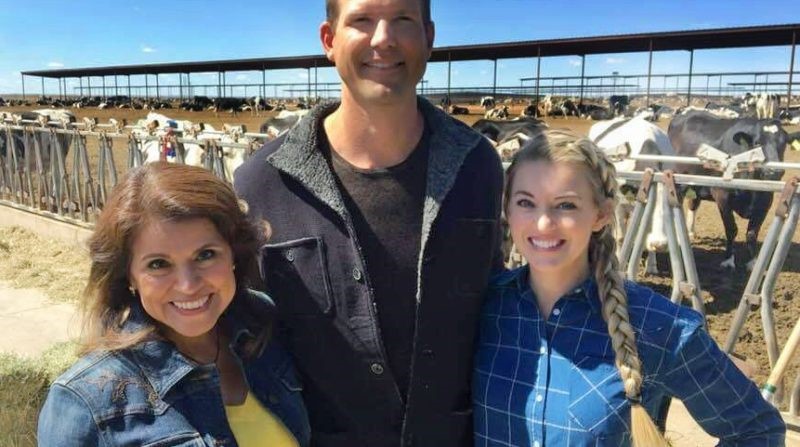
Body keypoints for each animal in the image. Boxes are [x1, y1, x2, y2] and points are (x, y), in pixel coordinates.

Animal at [672, 111, 796, 270]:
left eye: (784, 143)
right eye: (757, 143)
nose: (774, 172)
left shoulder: (765, 201)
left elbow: (752, 233)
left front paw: (752, 262)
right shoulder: (722, 196)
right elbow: (731, 229)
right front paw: (728, 260)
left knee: (693, 204)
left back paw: (690, 231)